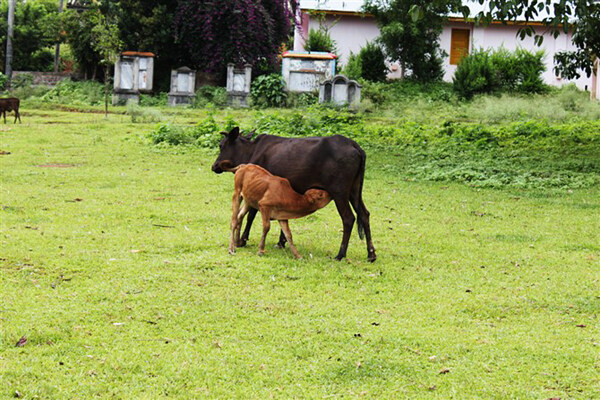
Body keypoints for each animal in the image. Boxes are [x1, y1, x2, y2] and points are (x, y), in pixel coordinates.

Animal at [211, 126, 376, 262]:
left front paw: (243, 239)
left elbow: (251, 214)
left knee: (348, 218)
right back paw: (371, 254)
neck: (251, 151)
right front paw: (281, 241)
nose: (214, 166)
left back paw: (340, 254)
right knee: (364, 214)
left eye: (221, 145)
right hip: (354, 191)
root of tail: (353, 145)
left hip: (339, 192)